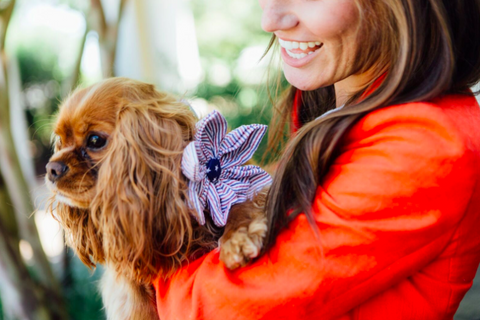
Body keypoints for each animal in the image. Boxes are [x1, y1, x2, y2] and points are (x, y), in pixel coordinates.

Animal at [46, 78, 270, 320]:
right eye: (60, 141)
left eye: (95, 140)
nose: (51, 168)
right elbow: (133, 298)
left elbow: (242, 203)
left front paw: (238, 237)